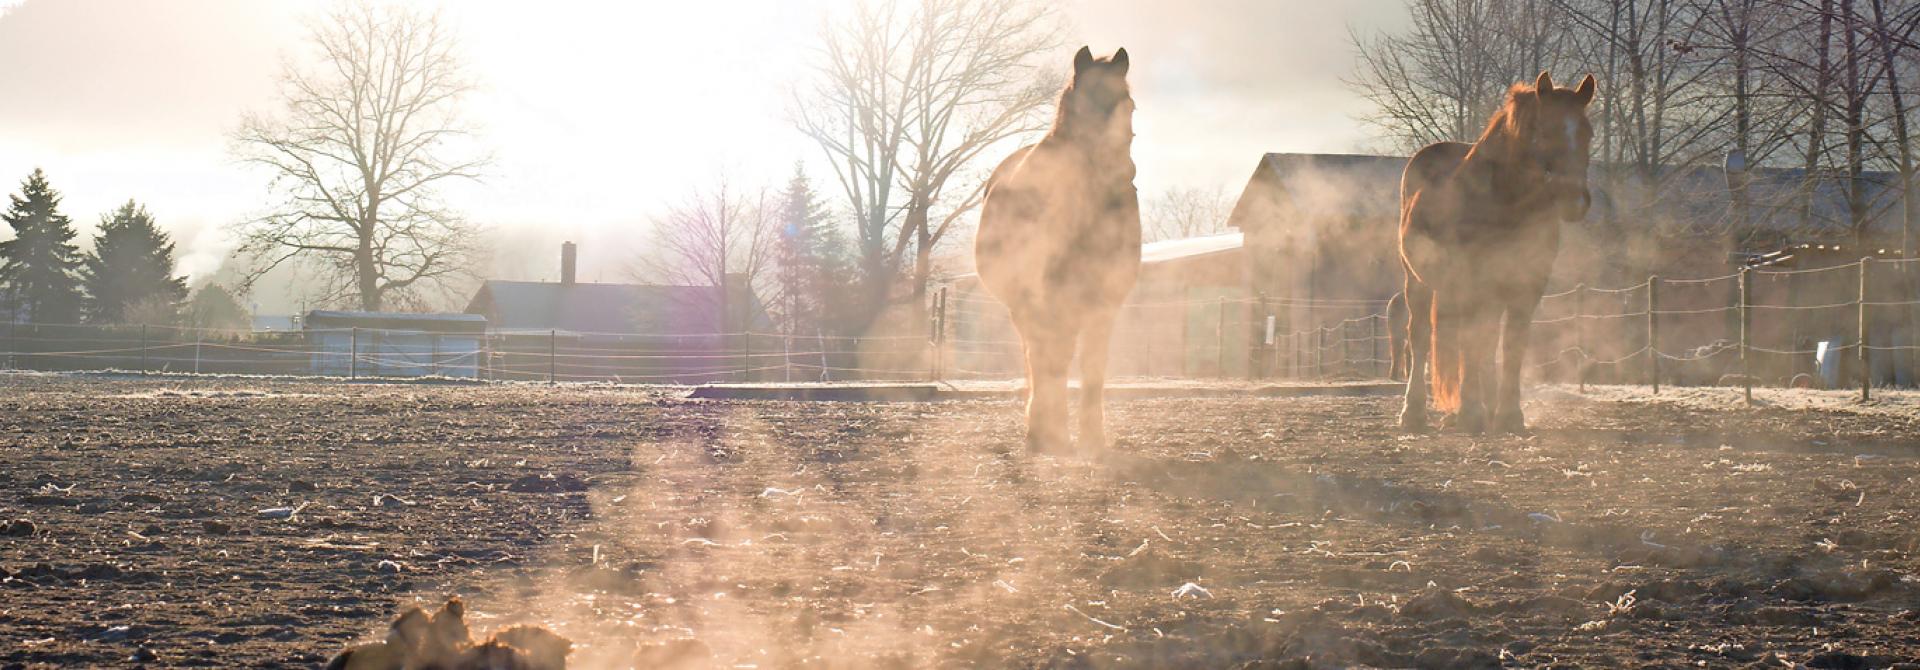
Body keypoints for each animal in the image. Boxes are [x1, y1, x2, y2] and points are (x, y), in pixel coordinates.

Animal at [974, 46, 1139, 452]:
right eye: (1082, 106)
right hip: (1024, 304)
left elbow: (1094, 366)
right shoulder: (1047, 298)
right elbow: (1052, 361)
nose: (1121, 178)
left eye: (1128, 106)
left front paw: (1093, 437)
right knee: (1037, 356)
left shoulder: (1104, 302)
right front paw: (1051, 432)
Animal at [1399, 71, 1596, 434]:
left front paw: (1507, 414)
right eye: (1544, 130)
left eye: (1587, 133)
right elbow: (1469, 344)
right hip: (1417, 282)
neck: (1504, 201)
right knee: (1420, 338)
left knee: (1486, 342)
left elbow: (1510, 346)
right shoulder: (1471, 286)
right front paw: (1470, 412)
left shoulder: (1526, 288)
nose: (1573, 200)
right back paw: (1414, 413)